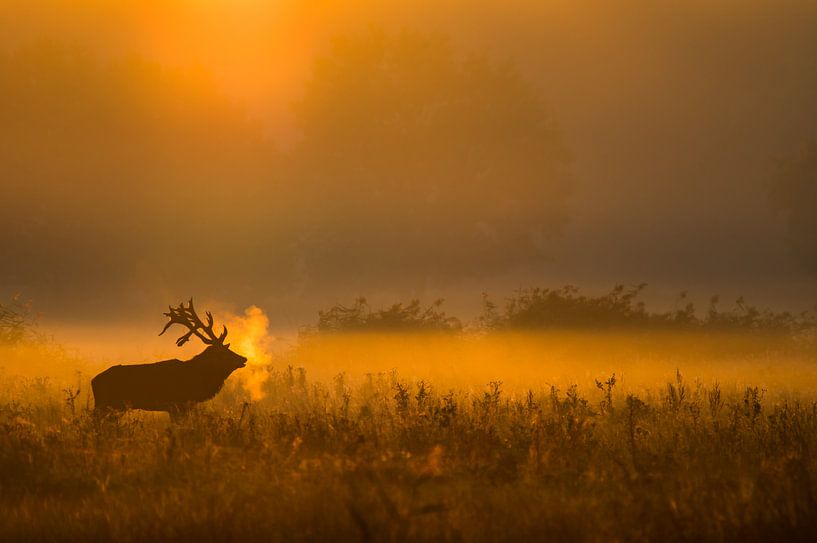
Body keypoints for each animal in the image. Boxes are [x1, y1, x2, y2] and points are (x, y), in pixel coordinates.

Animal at [90, 298, 247, 420]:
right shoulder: (177, 404)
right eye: (222, 353)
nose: (243, 358)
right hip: (106, 404)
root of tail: (93, 381)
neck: (196, 380)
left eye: (228, 349)